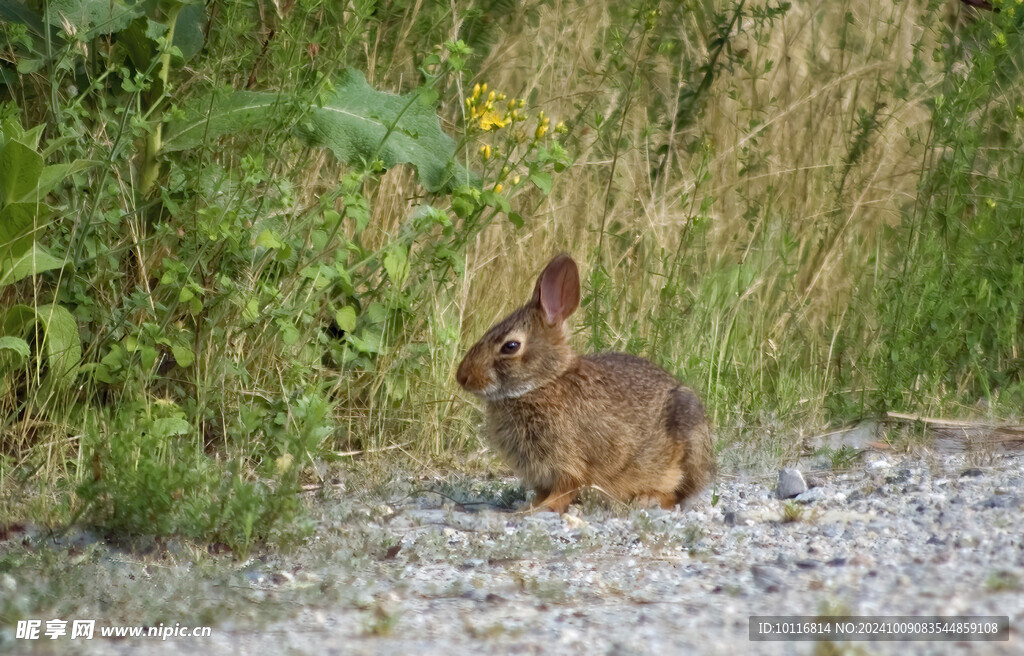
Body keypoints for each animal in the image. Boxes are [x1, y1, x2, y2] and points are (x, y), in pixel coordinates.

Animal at [456, 253, 712, 513]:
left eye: (510, 346)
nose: (463, 377)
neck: (543, 383)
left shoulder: (569, 463)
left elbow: (565, 490)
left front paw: (540, 509)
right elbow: (542, 492)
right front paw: (527, 507)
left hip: (688, 441)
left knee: (679, 494)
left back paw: (648, 498)